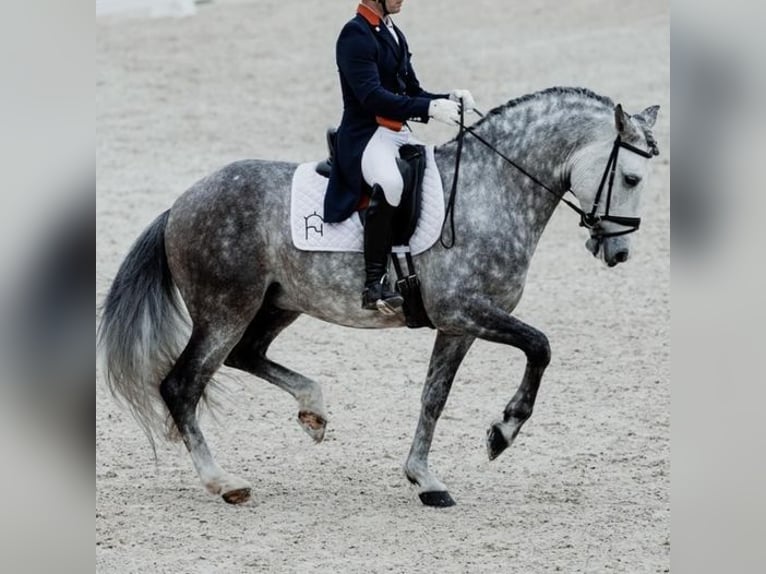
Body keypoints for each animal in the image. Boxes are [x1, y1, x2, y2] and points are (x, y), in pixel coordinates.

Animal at [97, 86, 660, 508]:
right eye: (632, 177)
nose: (619, 252)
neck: (490, 188)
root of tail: (179, 204)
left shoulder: (458, 325)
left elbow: (435, 396)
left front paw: (425, 480)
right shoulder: (465, 311)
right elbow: (540, 346)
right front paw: (504, 431)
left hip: (278, 303)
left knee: (245, 355)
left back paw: (313, 411)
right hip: (225, 309)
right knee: (182, 385)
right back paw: (224, 481)